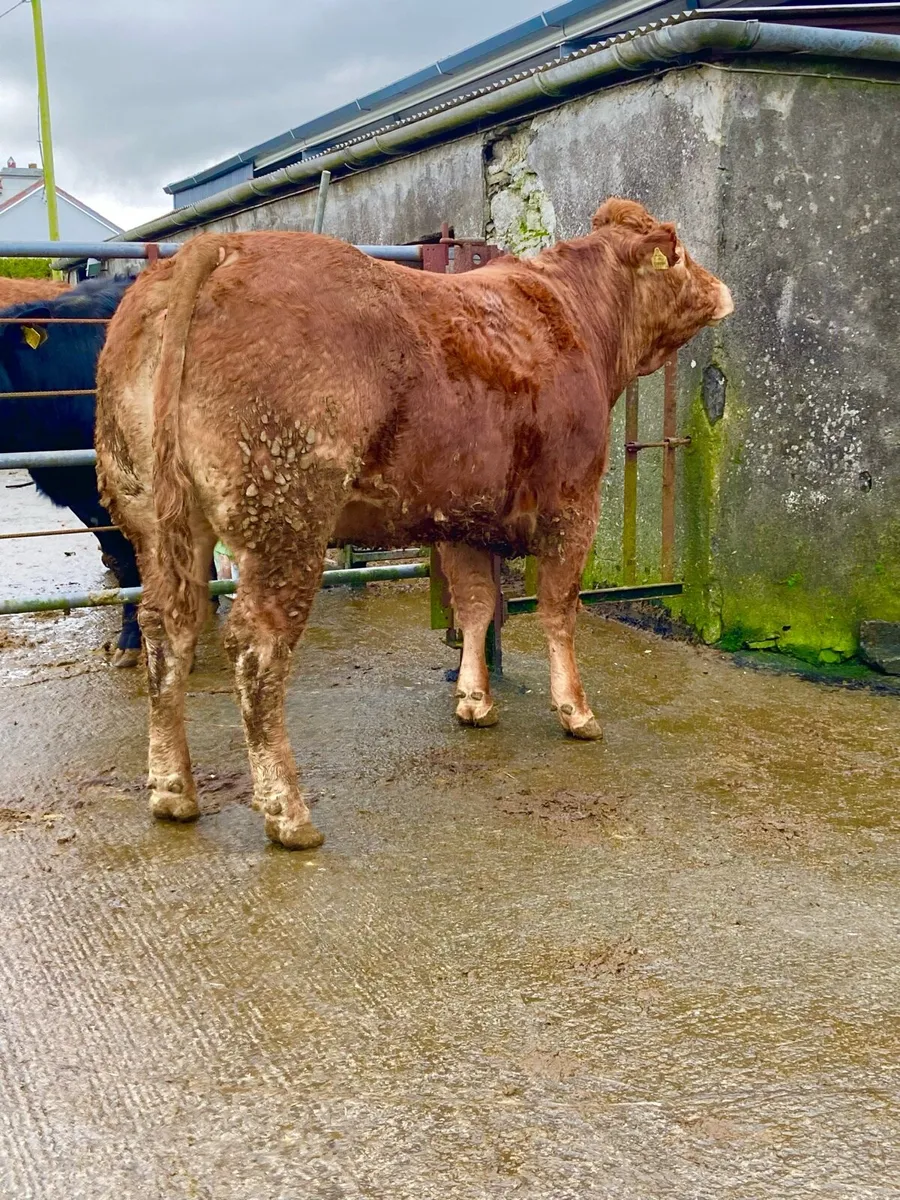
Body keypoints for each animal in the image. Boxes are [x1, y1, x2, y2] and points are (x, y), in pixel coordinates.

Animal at [95, 197, 733, 850]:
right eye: (680, 251)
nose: (720, 288)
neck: (579, 316)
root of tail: (220, 246)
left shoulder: (463, 517)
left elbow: (476, 606)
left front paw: (474, 700)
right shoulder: (572, 501)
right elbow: (559, 610)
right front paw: (576, 711)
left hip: (154, 519)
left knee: (165, 626)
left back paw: (173, 789)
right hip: (286, 518)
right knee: (256, 646)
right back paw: (287, 811)